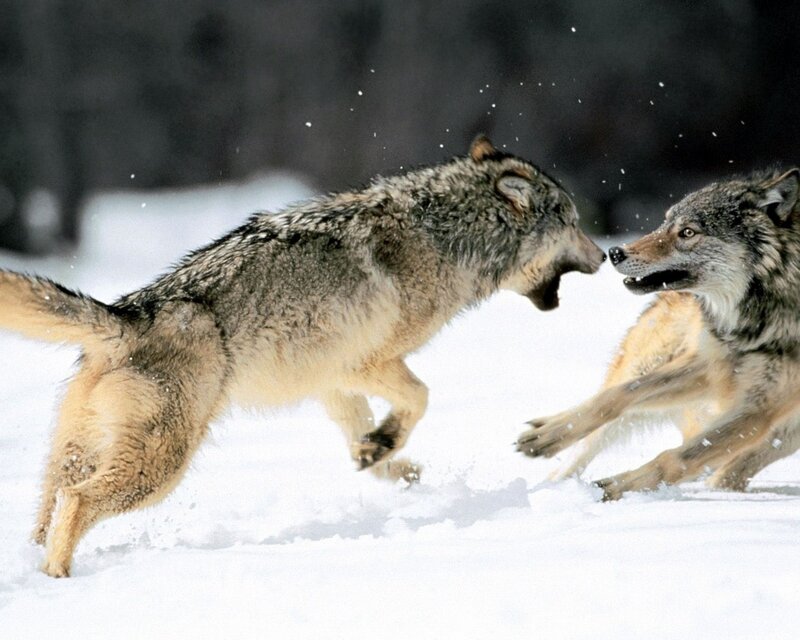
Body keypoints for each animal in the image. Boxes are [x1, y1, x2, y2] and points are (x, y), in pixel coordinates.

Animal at [0, 136, 605, 576]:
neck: (446, 236)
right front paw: (386, 448)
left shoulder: (329, 379)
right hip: (158, 468)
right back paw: (60, 578)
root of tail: (128, 313)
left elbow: (364, 433)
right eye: (574, 222)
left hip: (78, 454)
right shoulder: (364, 363)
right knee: (78, 502)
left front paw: (381, 456)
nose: (604, 257)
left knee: (48, 511)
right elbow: (421, 397)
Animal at [517, 168, 800, 500]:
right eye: (665, 222)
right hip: (652, 362)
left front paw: (615, 488)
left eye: (688, 232)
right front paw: (547, 436)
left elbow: (676, 459)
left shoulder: (760, 408)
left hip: (784, 433)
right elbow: (618, 395)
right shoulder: (708, 364)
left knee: (726, 471)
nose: (615, 252)